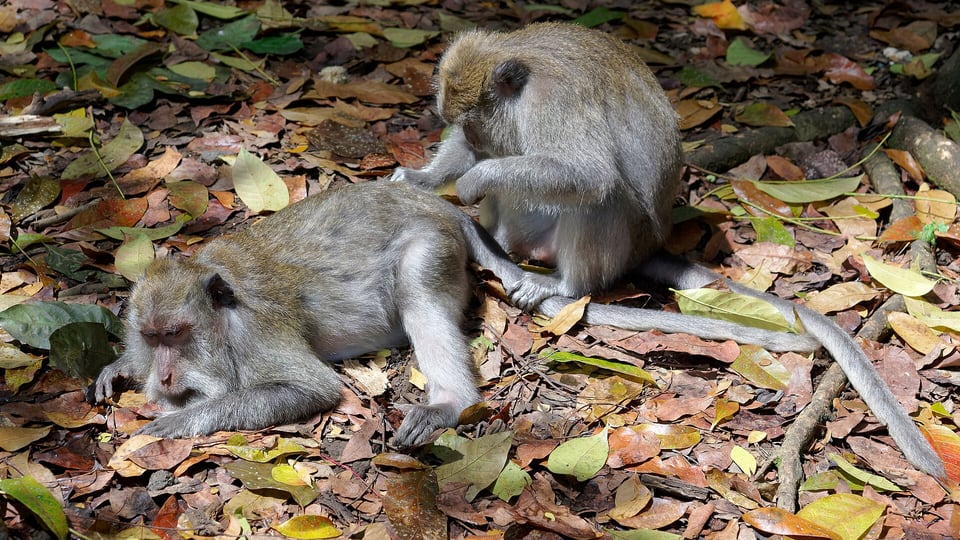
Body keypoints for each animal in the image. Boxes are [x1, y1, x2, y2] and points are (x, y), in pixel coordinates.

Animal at [95, 181, 496, 448]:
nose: (163, 376)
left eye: (175, 333)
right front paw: (122, 367)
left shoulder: (255, 332)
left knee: (418, 287)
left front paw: (180, 417)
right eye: (151, 337)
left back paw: (450, 403)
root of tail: (433, 202)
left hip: (433, 245)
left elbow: (312, 388)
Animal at [392, 22, 947, 478]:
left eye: (473, 123)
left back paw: (565, 283)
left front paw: (475, 176)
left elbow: (589, 175)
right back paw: (500, 246)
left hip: (617, 239)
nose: (469, 143)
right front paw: (425, 177)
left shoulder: (555, 104)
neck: (521, 75)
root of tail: (644, 250)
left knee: (602, 195)